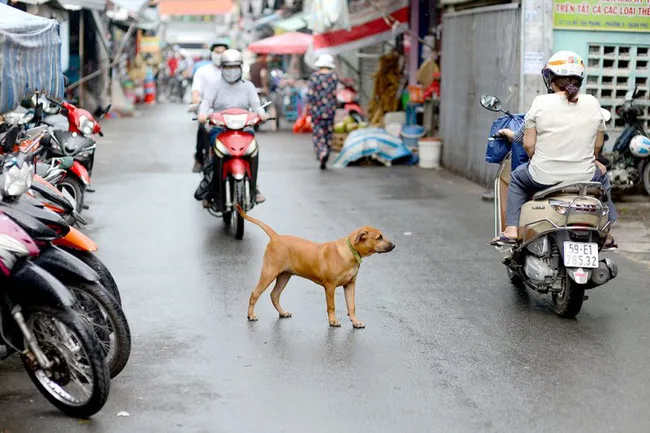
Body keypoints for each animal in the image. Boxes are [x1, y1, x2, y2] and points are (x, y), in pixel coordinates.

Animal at [235, 206, 392, 328]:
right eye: (379, 237)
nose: (394, 245)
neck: (350, 251)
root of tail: (276, 237)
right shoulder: (330, 286)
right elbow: (331, 306)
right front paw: (333, 321)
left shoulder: (350, 285)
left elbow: (351, 306)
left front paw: (355, 322)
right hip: (269, 272)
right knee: (255, 293)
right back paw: (251, 315)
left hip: (284, 275)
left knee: (274, 295)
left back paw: (282, 312)